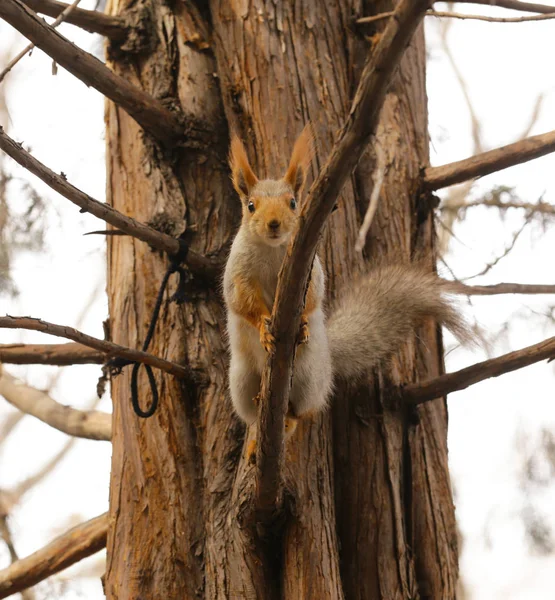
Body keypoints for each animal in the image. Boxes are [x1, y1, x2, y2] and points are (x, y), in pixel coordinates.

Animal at [224, 125, 472, 446]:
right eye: (251, 206)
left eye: (293, 202)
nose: (274, 224)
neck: (272, 248)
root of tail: (329, 359)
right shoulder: (237, 272)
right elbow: (240, 302)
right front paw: (264, 326)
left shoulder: (310, 270)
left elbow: (314, 298)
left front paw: (303, 322)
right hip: (240, 381)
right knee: (253, 412)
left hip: (308, 378)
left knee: (303, 411)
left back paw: (289, 417)